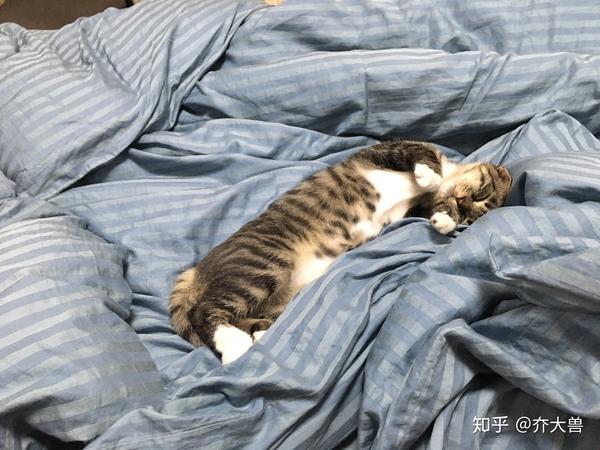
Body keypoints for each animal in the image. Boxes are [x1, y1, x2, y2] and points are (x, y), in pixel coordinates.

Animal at [169, 140, 512, 364]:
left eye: (471, 213)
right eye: (481, 193)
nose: (462, 203)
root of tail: (199, 267)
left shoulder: (415, 208)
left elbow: (434, 206)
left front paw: (444, 219)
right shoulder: (382, 151)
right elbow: (422, 153)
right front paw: (430, 175)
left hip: (278, 296)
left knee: (234, 313)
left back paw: (257, 335)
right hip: (264, 264)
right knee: (203, 311)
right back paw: (235, 346)